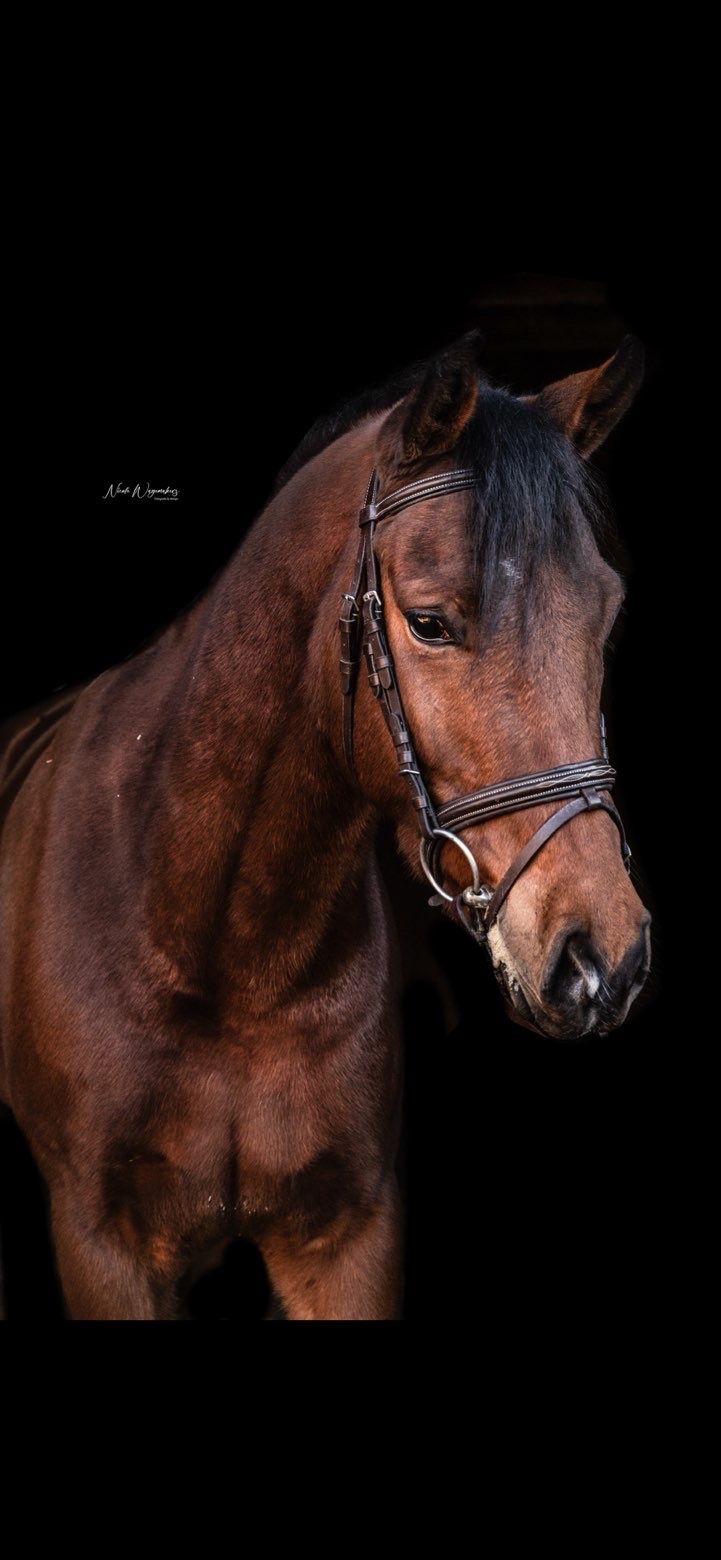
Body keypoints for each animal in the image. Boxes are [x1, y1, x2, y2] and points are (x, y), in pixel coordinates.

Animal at [0, 330, 651, 1320]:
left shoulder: (347, 1237)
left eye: (605, 619)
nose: (600, 958)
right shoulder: (103, 1247)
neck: (222, 953)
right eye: (429, 622)